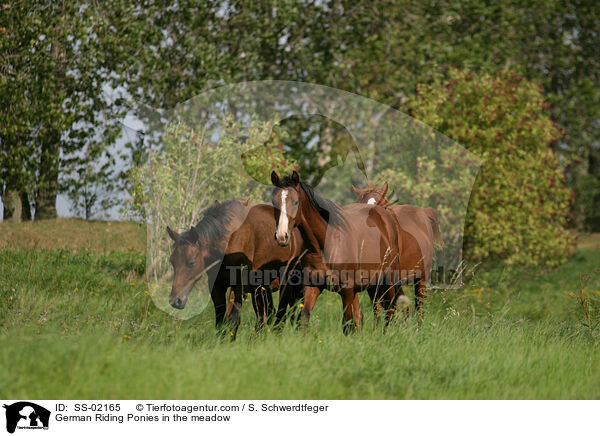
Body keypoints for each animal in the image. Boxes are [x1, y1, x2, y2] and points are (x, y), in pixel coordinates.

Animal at [169, 198, 308, 338]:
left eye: (191, 262)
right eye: (172, 261)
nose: (176, 301)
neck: (229, 239)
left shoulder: (239, 287)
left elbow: (233, 318)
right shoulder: (217, 287)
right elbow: (221, 319)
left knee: (282, 314)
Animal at [270, 170, 400, 334]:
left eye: (295, 202)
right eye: (274, 202)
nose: (282, 236)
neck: (326, 245)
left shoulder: (347, 289)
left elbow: (348, 323)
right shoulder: (313, 286)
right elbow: (304, 318)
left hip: (387, 281)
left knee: (389, 313)